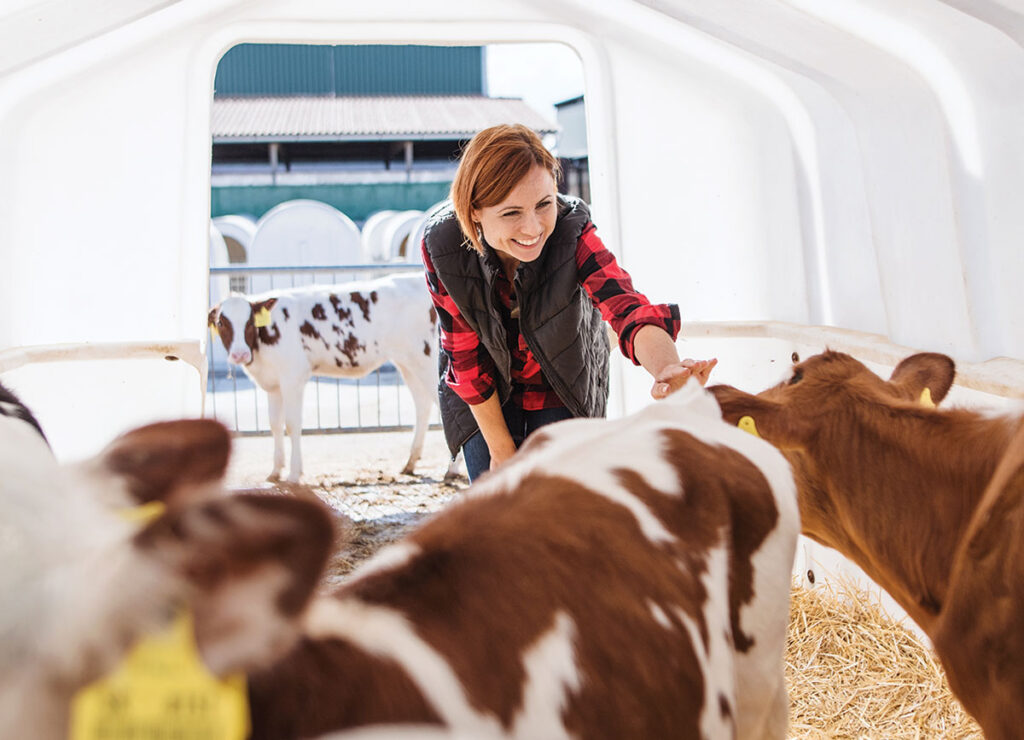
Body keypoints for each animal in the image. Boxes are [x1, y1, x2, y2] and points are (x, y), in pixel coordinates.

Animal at [207, 274, 448, 483]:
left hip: (426, 360)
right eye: (221, 323)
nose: (239, 354)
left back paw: (450, 470)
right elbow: (275, 425)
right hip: (407, 363)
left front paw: (294, 475)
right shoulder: (273, 384)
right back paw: (410, 463)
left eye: (249, 322)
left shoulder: (293, 377)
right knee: (423, 406)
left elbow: (292, 424)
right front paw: (275, 471)